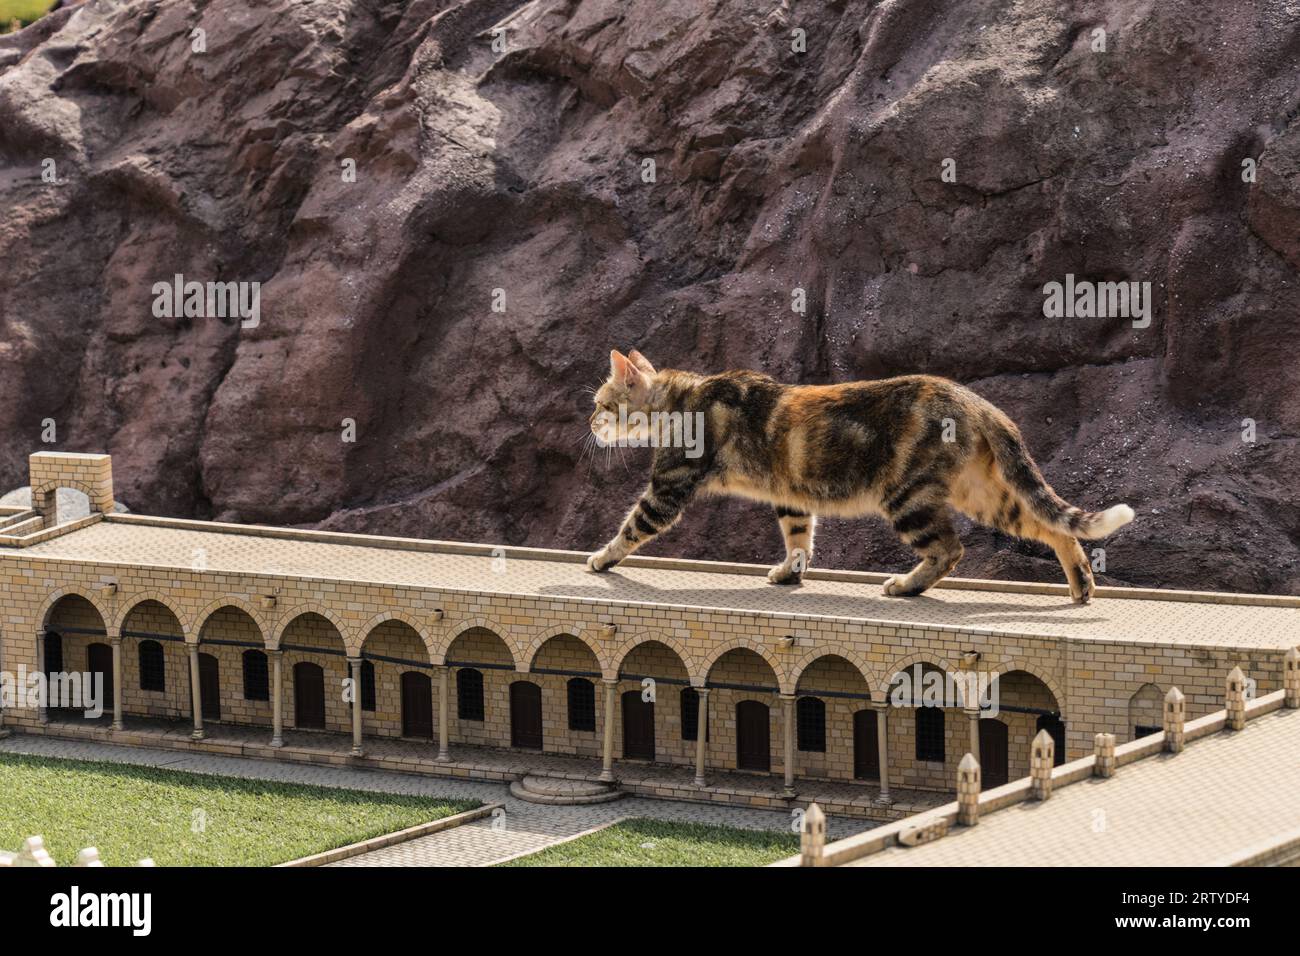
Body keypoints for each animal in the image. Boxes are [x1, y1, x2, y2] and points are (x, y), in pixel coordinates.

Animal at [585, 351, 1133, 606]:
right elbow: (799, 540)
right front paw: (791, 574)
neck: (682, 398)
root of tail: (976, 401)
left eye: (601, 404)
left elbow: (630, 529)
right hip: (984, 494)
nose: (589, 423)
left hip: (908, 498)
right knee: (1055, 528)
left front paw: (600, 559)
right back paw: (1081, 586)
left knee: (950, 550)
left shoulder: (667, 487)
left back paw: (905, 586)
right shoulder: (791, 497)